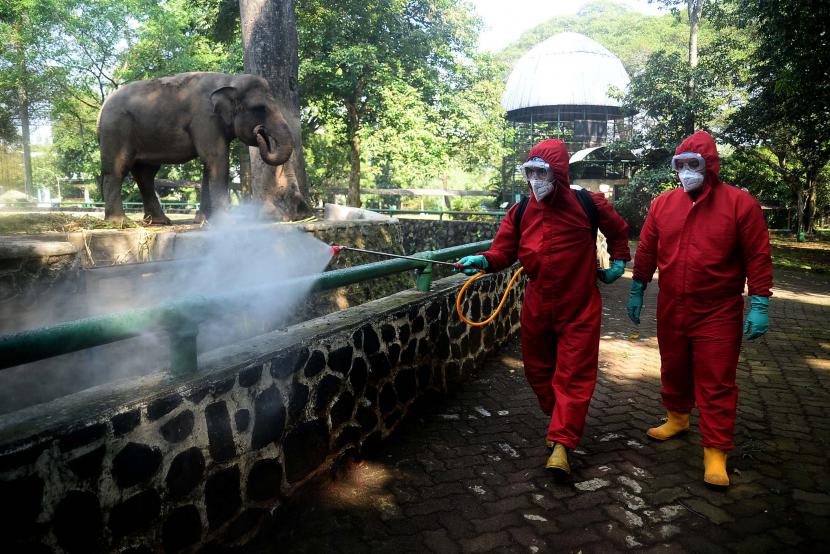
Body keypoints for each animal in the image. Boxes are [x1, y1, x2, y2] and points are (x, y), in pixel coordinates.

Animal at [97, 71, 294, 222]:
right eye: (260, 108)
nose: (260, 131)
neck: (230, 80)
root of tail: (102, 108)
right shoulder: (205, 118)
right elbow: (217, 159)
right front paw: (226, 221)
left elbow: (210, 164)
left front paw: (205, 219)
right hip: (115, 130)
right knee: (117, 170)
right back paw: (120, 222)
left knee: (145, 175)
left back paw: (160, 221)